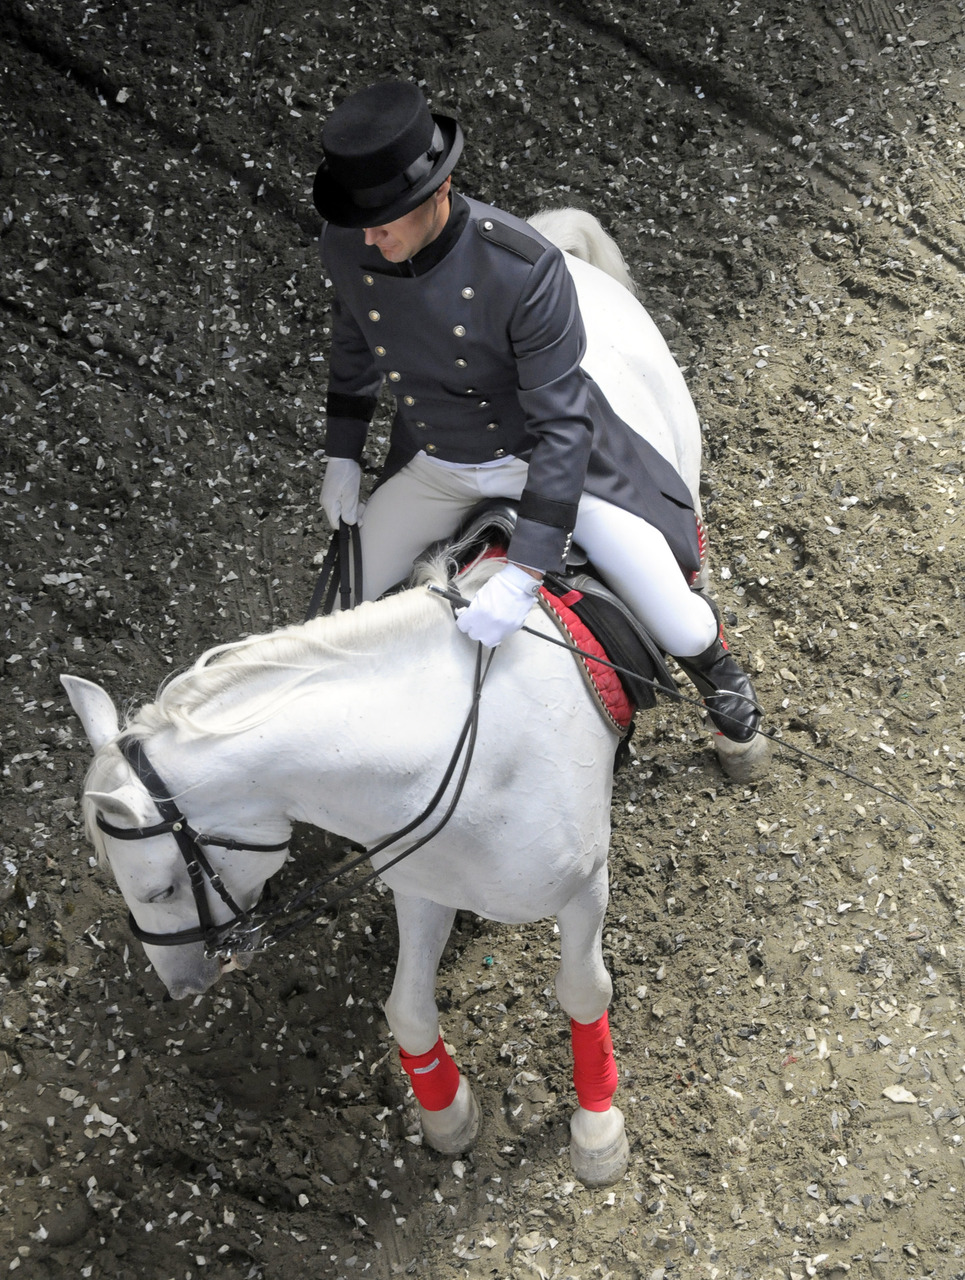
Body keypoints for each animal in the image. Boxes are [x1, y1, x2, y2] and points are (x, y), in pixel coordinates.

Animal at [62, 209, 740, 1187]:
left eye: (154, 887)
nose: (183, 988)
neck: (462, 748)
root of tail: (562, 254)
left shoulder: (582, 888)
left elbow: (583, 989)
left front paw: (596, 1130)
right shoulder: (423, 882)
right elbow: (407, 1010)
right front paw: (447, 1115)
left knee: (691, 615)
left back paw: (737, 726)